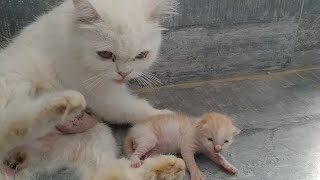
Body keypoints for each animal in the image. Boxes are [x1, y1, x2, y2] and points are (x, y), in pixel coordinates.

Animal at [0, 0, 175, 158]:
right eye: (105, 54)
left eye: (142, 55)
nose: (124, 73)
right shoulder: (102, 97)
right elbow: (135, 109)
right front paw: (169, 115)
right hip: (18, 80)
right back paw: (65, 103)